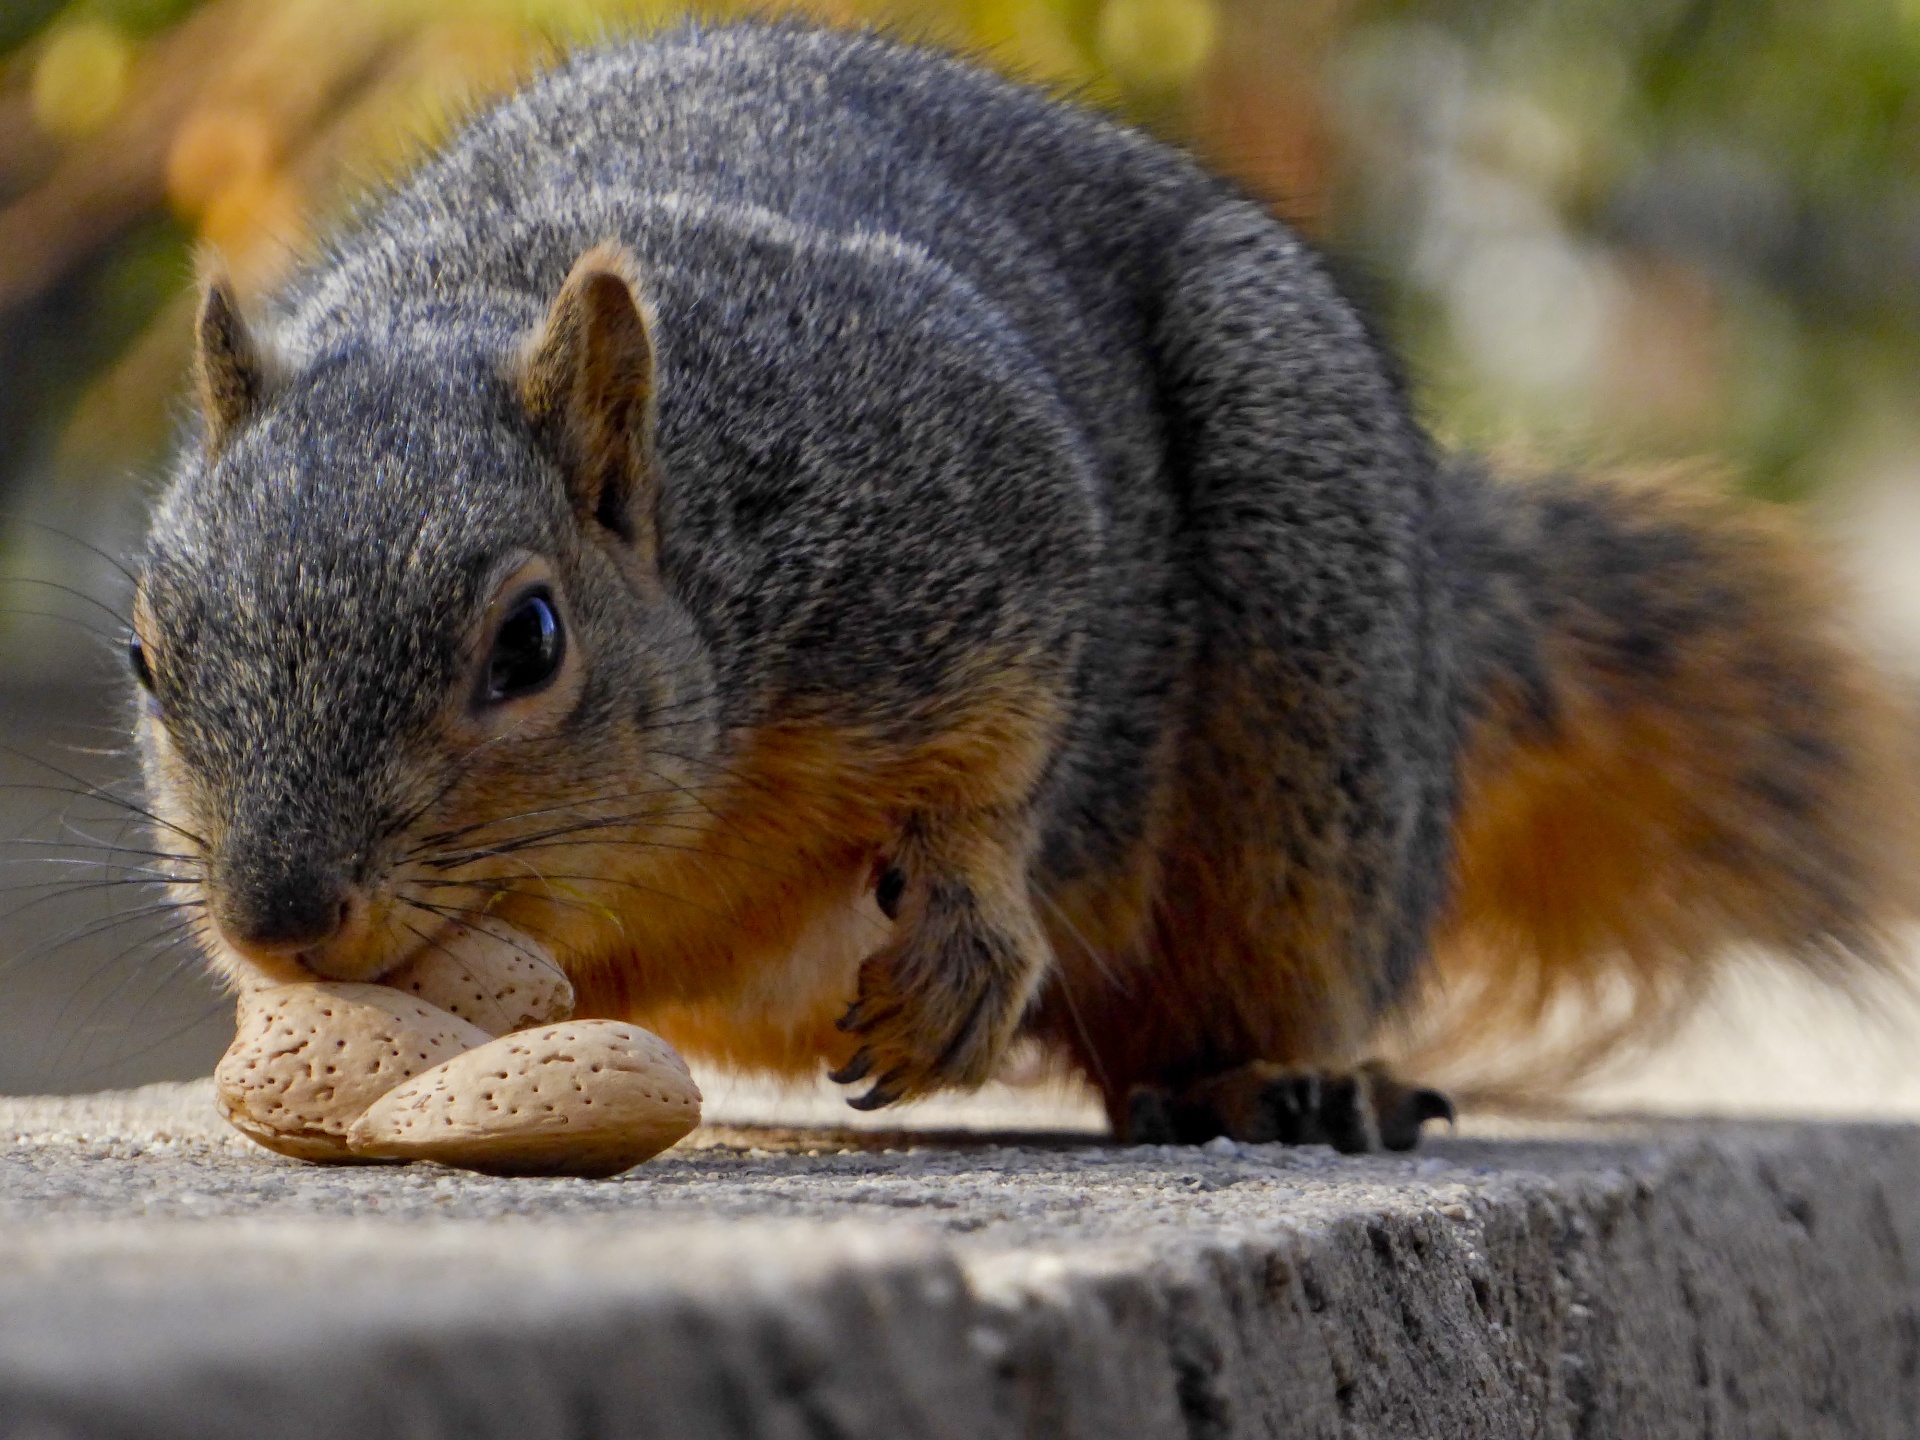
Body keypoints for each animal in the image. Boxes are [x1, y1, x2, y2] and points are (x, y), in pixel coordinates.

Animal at [127, 22, 1920, 1159]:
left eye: (531, 640)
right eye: (149, 657)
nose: (280, 918)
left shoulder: (964, 511)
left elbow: (1004, 745)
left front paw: (967, 939)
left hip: (1315, 686)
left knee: (1230, 977)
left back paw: (1277, 1084)